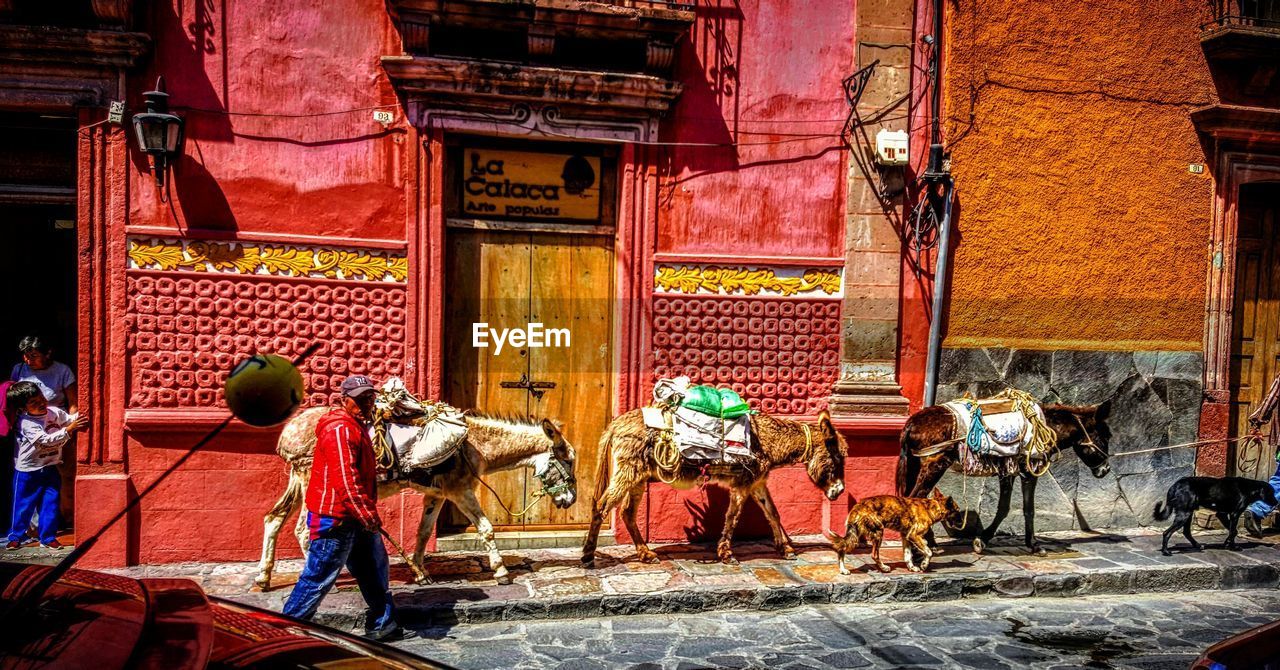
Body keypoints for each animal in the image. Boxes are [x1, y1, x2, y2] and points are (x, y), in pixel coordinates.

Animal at [829, 494, 962, 573]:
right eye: (957, 511)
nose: (962, 523)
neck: (932, 508)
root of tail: (858, 506)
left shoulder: (906, 536)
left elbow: (908, 556)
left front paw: (912, 567)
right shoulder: (914, 535)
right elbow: (929, 551)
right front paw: (924, 565)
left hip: (855, 534)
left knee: (842, 548)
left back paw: (843, 569)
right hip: (878, 532)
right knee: (874, 555)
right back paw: (883, 568)